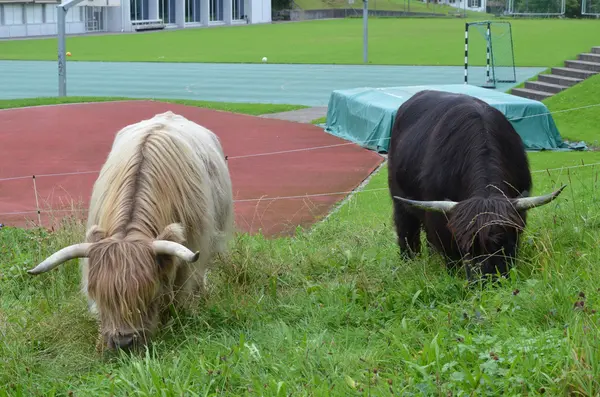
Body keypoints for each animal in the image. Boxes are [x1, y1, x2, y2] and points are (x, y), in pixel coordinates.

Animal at [386, 89, 564, 278]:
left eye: (502, 243)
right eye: (467, 246)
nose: (487, 279)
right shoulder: (439, 220)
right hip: (400, 202)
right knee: (406, 231)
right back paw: (409, 262)